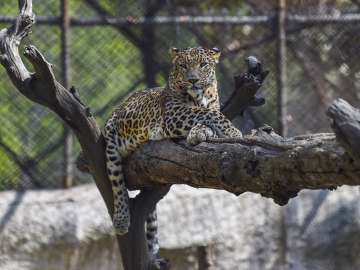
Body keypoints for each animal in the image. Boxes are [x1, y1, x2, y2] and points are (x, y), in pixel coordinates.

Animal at [102, 46, 242, 255]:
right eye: (183, 65)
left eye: (203, 65)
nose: (193, 79)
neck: (199, 98)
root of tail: (118, 107)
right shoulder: (173, 114)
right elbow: (210, 114)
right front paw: (234, 131)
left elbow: (209, 116)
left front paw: (199, 132)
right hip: (111, 144)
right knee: (117, 184)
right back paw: (121, 220)